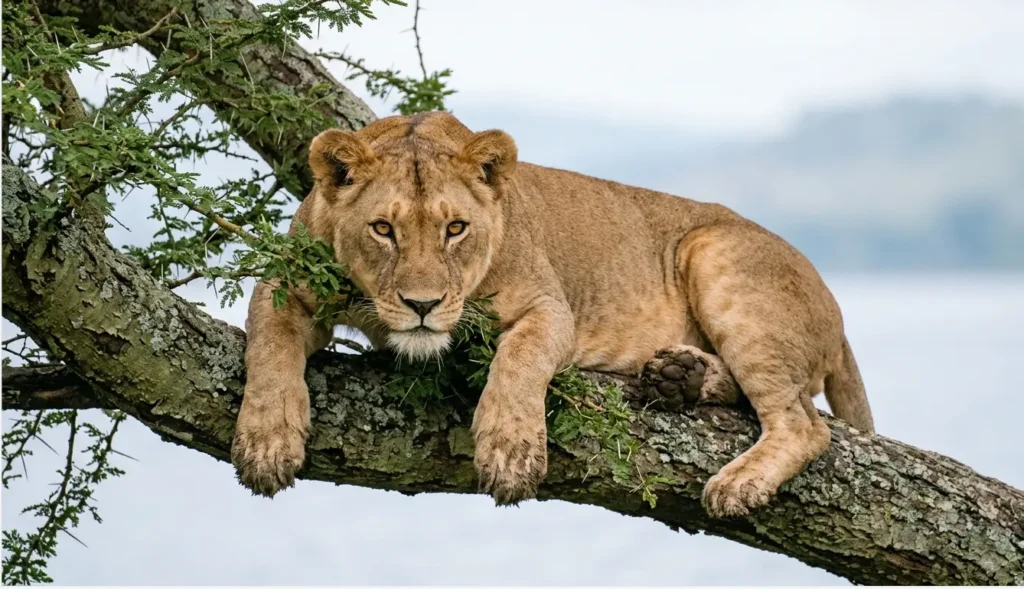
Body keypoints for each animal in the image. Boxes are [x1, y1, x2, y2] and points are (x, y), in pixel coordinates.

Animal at [231, 111, 874, 517]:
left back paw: (736, 480)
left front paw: (510, 450)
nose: (423, 306)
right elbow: (269, 344)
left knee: (803, 423)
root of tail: (836, 310)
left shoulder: (548, 305)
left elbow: (520, 359)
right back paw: (680, 376)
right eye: (383, 229)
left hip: (714, 251)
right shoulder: (284, 283)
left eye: (455, 228)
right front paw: (266, 440)